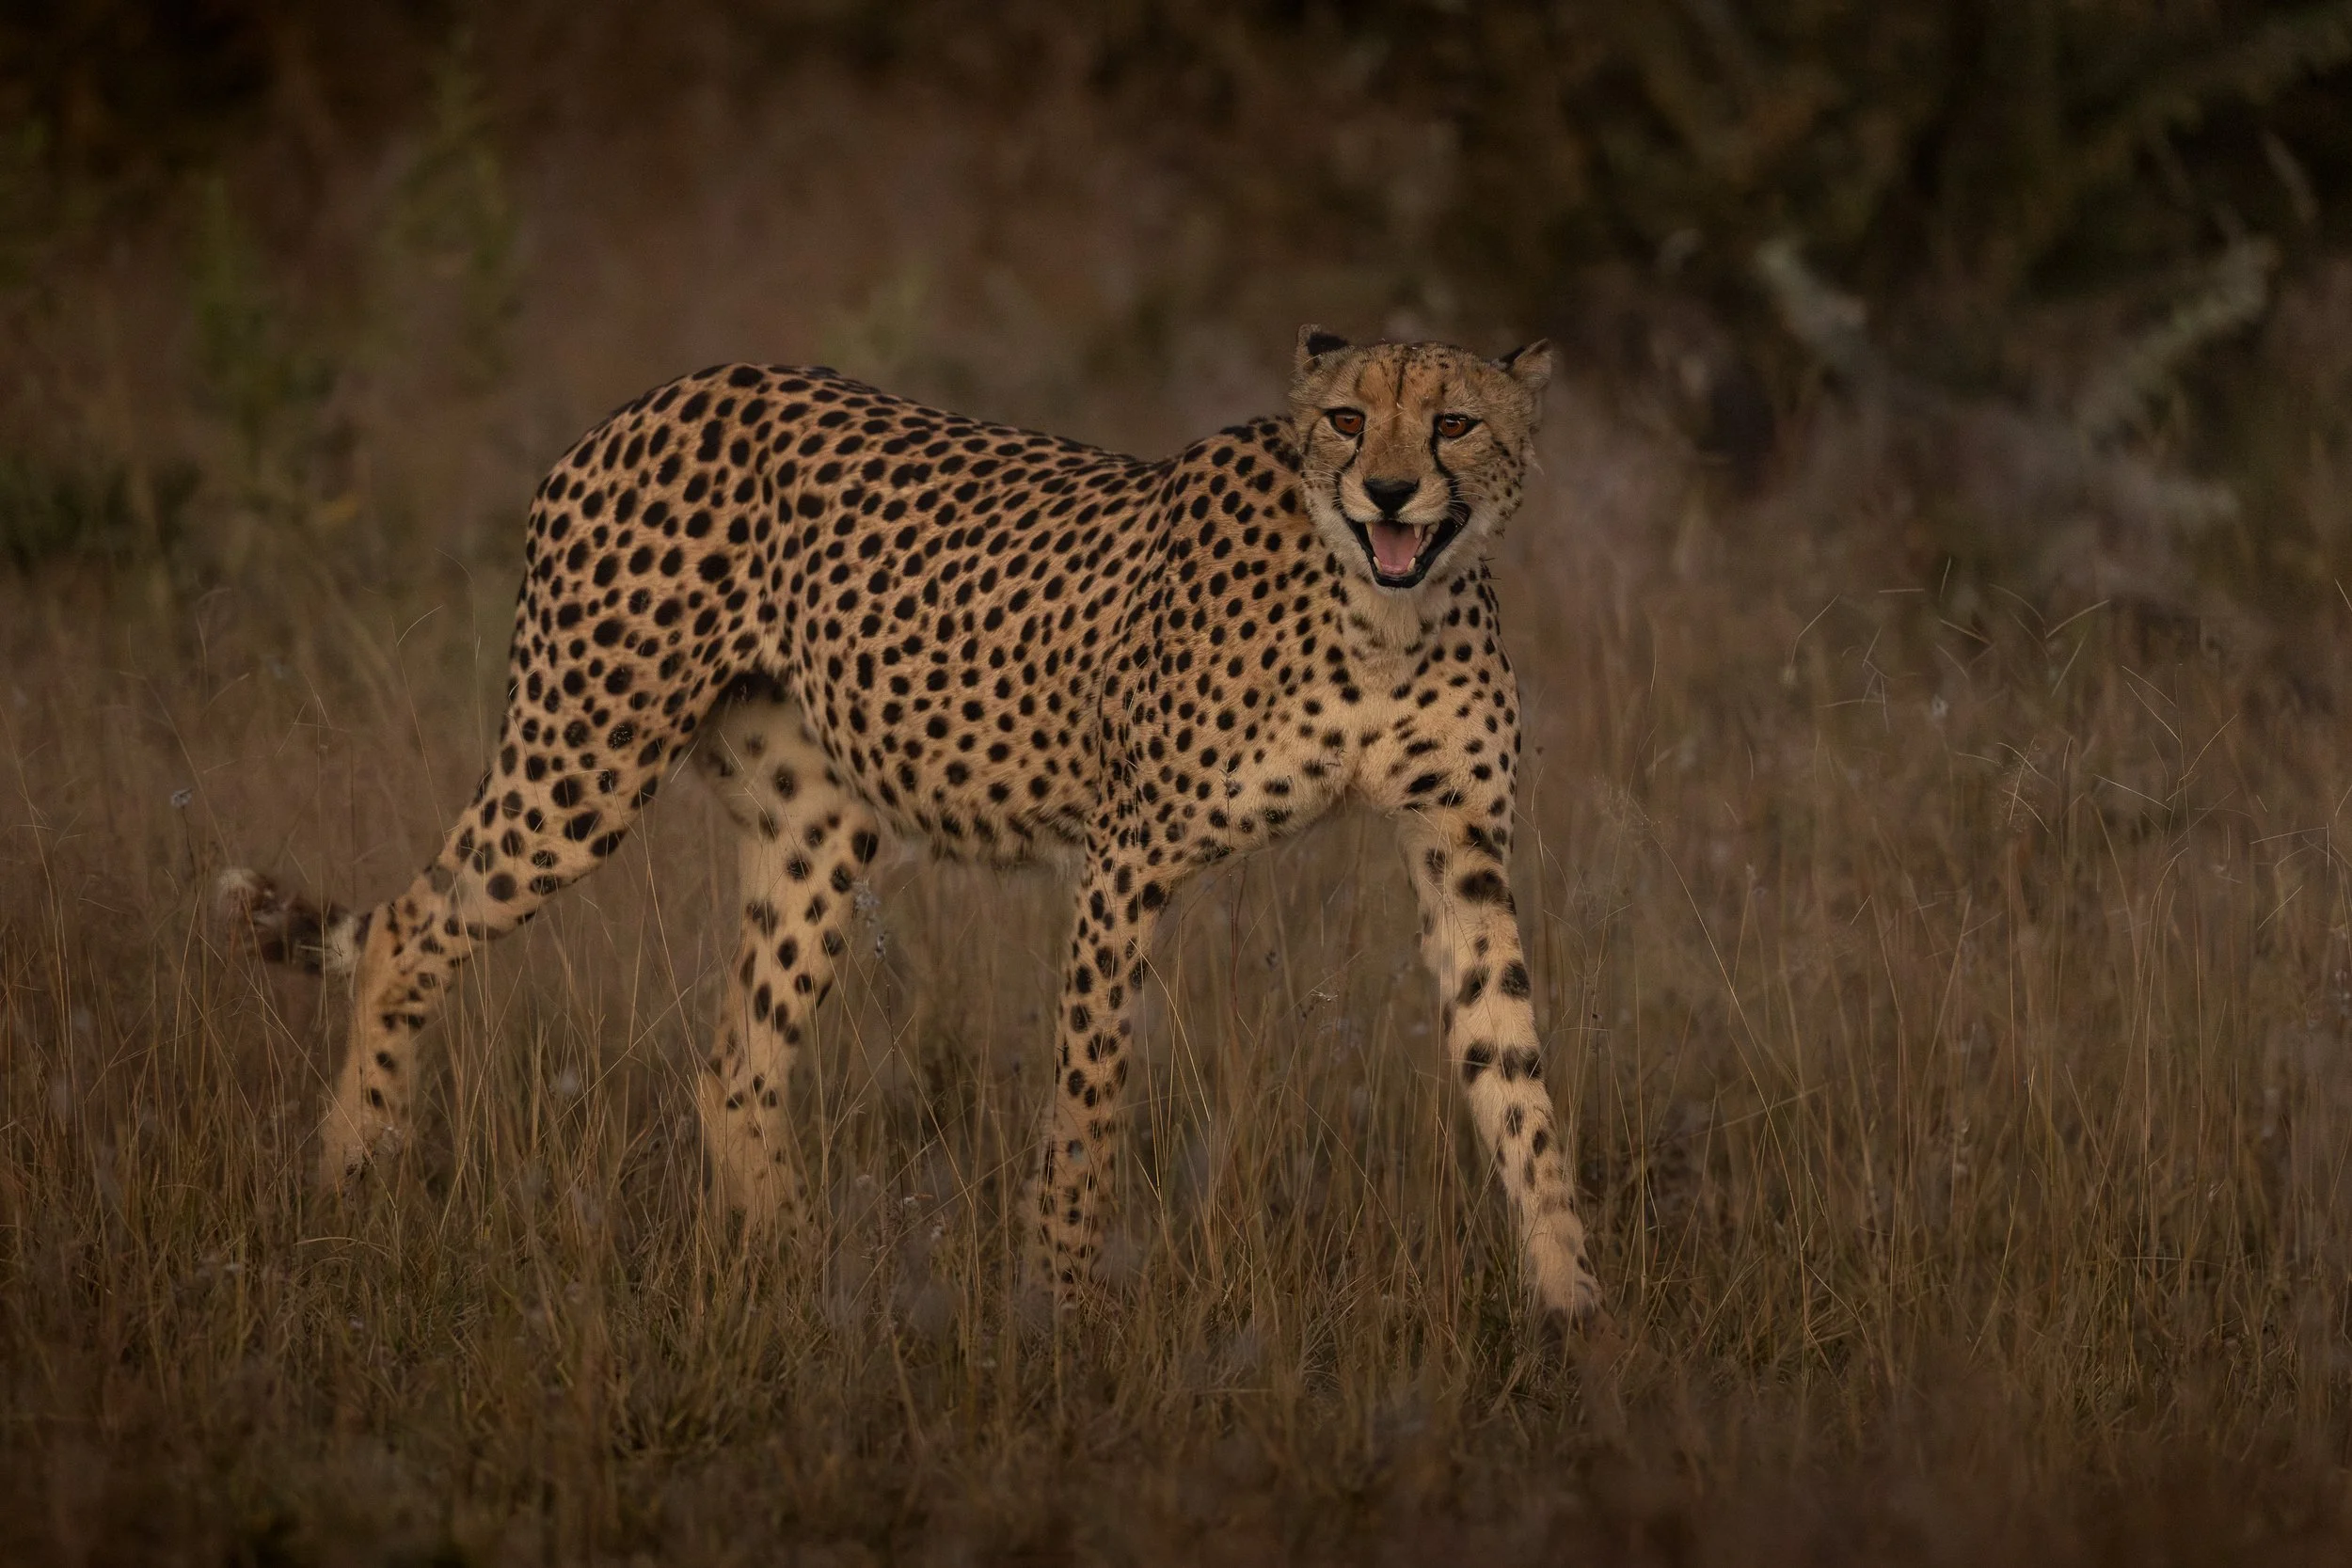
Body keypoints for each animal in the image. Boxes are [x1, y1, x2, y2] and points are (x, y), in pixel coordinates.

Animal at [215, 325, 1606, 1329]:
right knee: (410, 928)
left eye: (1455, 422)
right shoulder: (1128, 858)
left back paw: (806, 1278)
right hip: (582, 759)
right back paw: (350, 1178)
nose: (1389, 486)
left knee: (736, 1063)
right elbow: (1088, 1102)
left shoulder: (1462, 854)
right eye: (1346, 418)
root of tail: (659, 393)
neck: (1385, 614)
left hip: (814, 832)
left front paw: (1572, 1308)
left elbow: (1516, 1081)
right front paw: (1061, 1306)